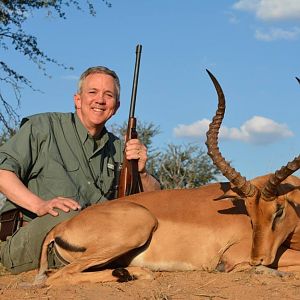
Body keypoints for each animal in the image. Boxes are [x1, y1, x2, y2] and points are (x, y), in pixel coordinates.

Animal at [35, 71, 300, 286]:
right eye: (249, 212)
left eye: (279, 210)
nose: (258, 260)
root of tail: (60, 228)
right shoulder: (237, 254)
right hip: (138, 226)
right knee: (57, 277)